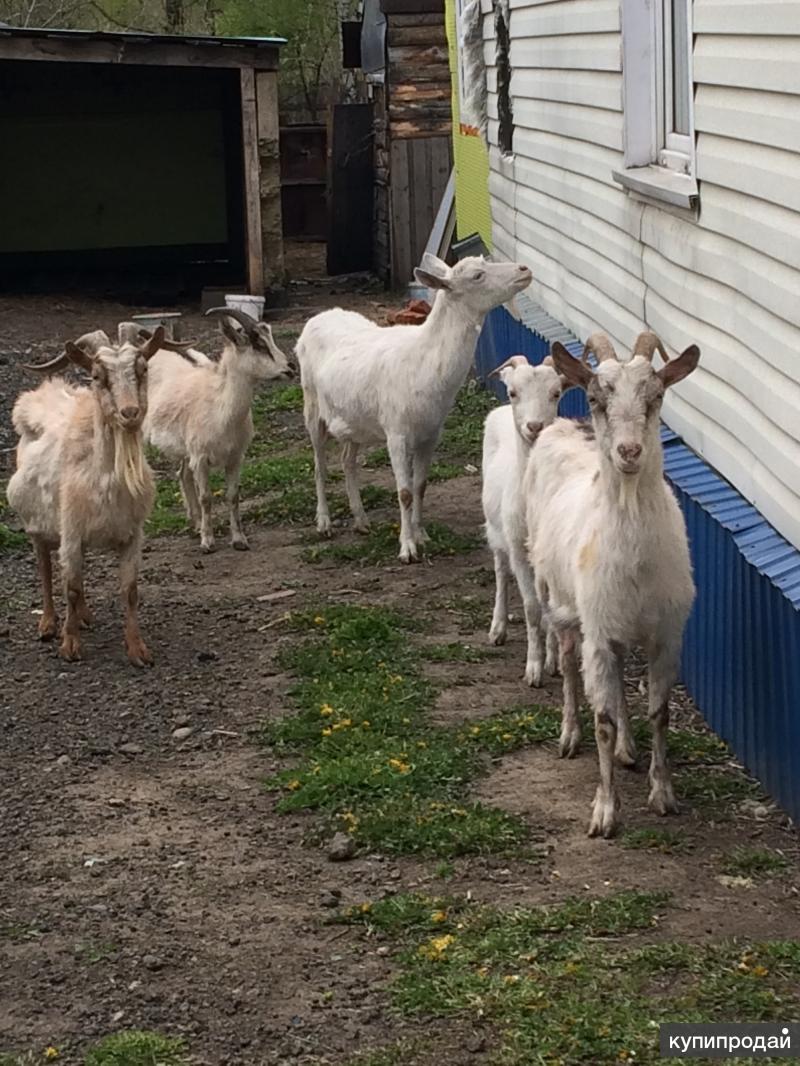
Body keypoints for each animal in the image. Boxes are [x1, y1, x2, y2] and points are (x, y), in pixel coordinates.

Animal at [5, 321, 166, 665]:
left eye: (143, 368)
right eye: (96, 375)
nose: (130, 412)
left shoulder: (131, 535)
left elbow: (130, 590)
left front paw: (138, 649)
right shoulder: (71, 530)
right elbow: (71, 586)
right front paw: (69, 645)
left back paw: (84, 615)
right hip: (38, 527)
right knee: (46, 568)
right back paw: (49, 623)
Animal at [144, 307, 294, 554]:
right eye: (258, 344)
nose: (291, 369)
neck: (221, 410)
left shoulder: (234, 457)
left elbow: (233, 495)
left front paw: (239, 540)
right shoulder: (201, 458)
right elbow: (206, 497)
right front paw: (208, 542)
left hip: (186, 450)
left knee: (182, 474)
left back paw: (195, 523)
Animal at [294, 253, 533, 562]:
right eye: (477, 276)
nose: (524, 270)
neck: (425, 362)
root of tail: (317, 317)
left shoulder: (431, 432)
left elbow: (420, 485)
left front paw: (422, 535)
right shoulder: (396, 431)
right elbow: (404, 491)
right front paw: (407, 548)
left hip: (353, 419)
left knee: (347, 460)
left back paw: (361, 520)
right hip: (311, 404)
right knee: (319, 464)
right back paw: (324, 523)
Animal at [480, 353, 567, 686]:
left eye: (556, 393)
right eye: (513, 392)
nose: (534, 426)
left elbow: (551, 609)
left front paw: (555, 662)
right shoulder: (519, 548)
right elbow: (532, 609)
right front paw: (534, 669)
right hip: (496, 531)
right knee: (501, 573)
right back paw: (498, 629)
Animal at [529, 332, 704, 840]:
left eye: (656, 397)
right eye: (596, 398)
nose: (629, 452)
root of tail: (563, 426)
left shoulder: (666, 632)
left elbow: (659, 712)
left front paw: (662, 794)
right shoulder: (599, 632)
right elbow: (602, 719)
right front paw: (605, 812)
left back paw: (628, 749)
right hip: (557, 598)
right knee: (569, 663)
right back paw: (569, 734)